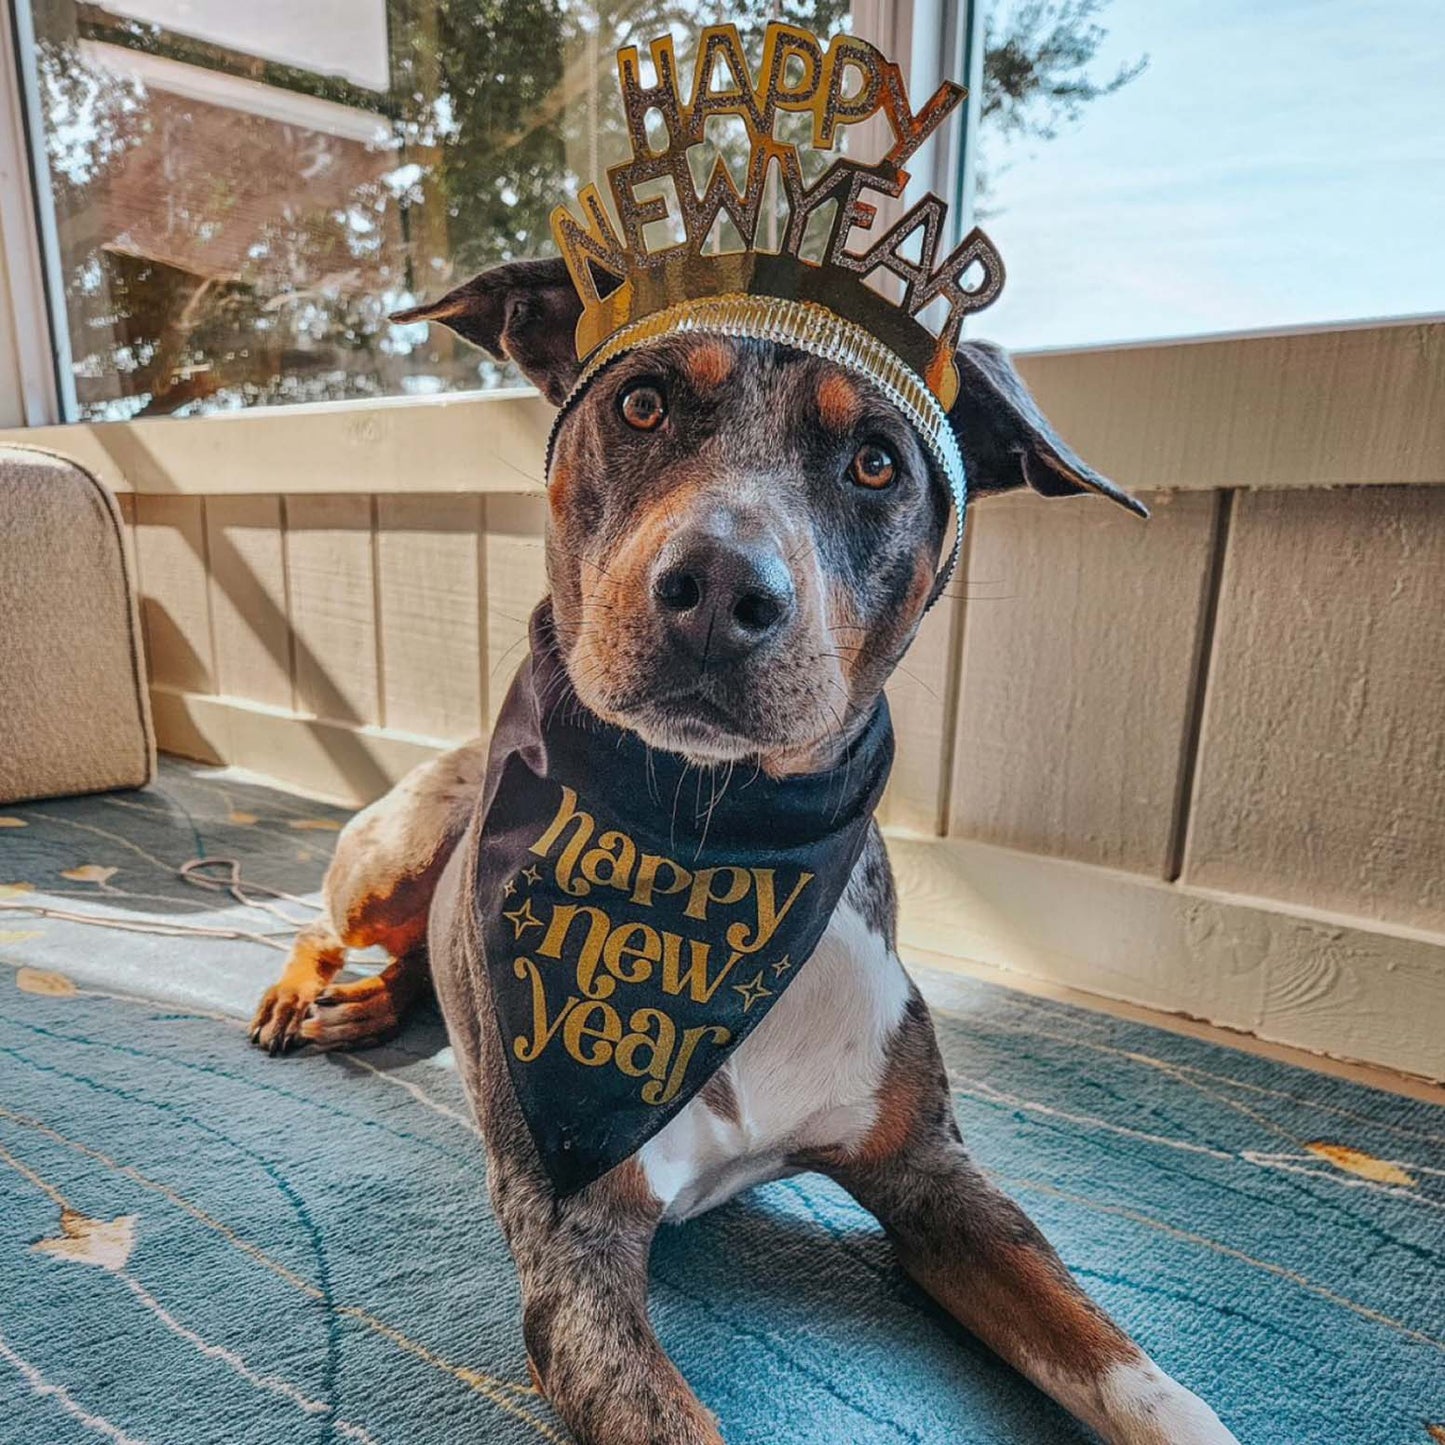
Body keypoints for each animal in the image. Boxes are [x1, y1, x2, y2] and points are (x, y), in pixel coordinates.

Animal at [248, 260, 1242, 1445]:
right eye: (640, 403)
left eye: (875, 461)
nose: (720, 590)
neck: (713, 845)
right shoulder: (574, 1248)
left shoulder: (937, 1180)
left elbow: (1133, 1372)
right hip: (397, 856)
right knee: (324, 919)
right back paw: (304, 994)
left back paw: (373, 1004)